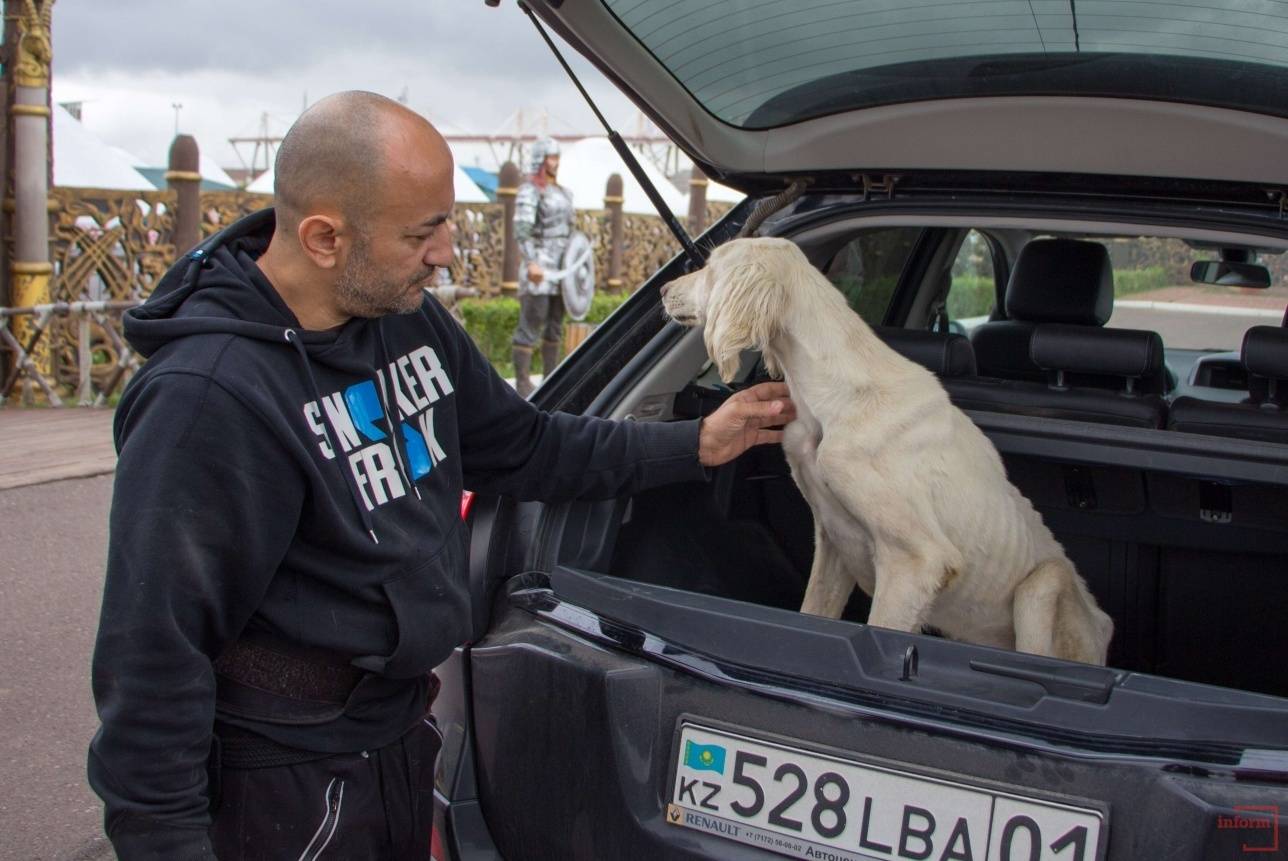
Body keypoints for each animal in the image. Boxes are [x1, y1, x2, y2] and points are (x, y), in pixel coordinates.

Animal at [659, 237, 1112, 665]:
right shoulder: (833, 539)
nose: (662, 289)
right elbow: (814, 610)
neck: (838, 395)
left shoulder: (916, 561)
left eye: (712, 268)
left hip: (1044, 582)